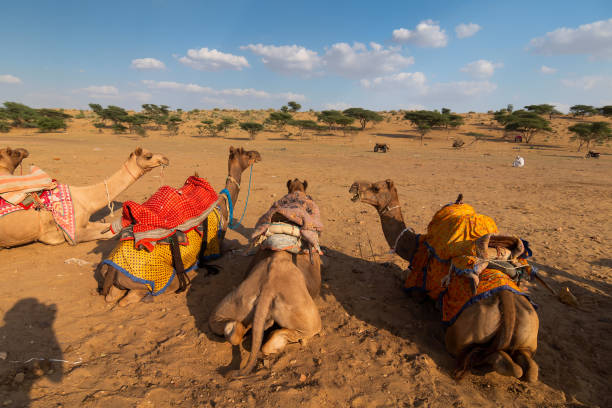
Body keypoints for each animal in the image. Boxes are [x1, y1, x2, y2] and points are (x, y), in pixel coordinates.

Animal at [0, 147, 169, 249]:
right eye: (148, 156)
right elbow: (113, 233)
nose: (166, 158)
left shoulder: (86, 222)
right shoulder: (73, 235)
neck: (85, 199)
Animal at [100, 147, 260, 306]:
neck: (223, 205)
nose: (258, 155)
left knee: (111, 296)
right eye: (247, 154)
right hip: (158, 279)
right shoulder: (215, 248)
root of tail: (112, 271)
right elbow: (230, 248)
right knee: (132, 297)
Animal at [350, 180, 540, 380]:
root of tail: (507, 304)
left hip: (459, 337)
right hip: (528, 337)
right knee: (528, 369)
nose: (354, 186)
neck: (416, 245)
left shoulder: (418, 286)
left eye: (376, 188)